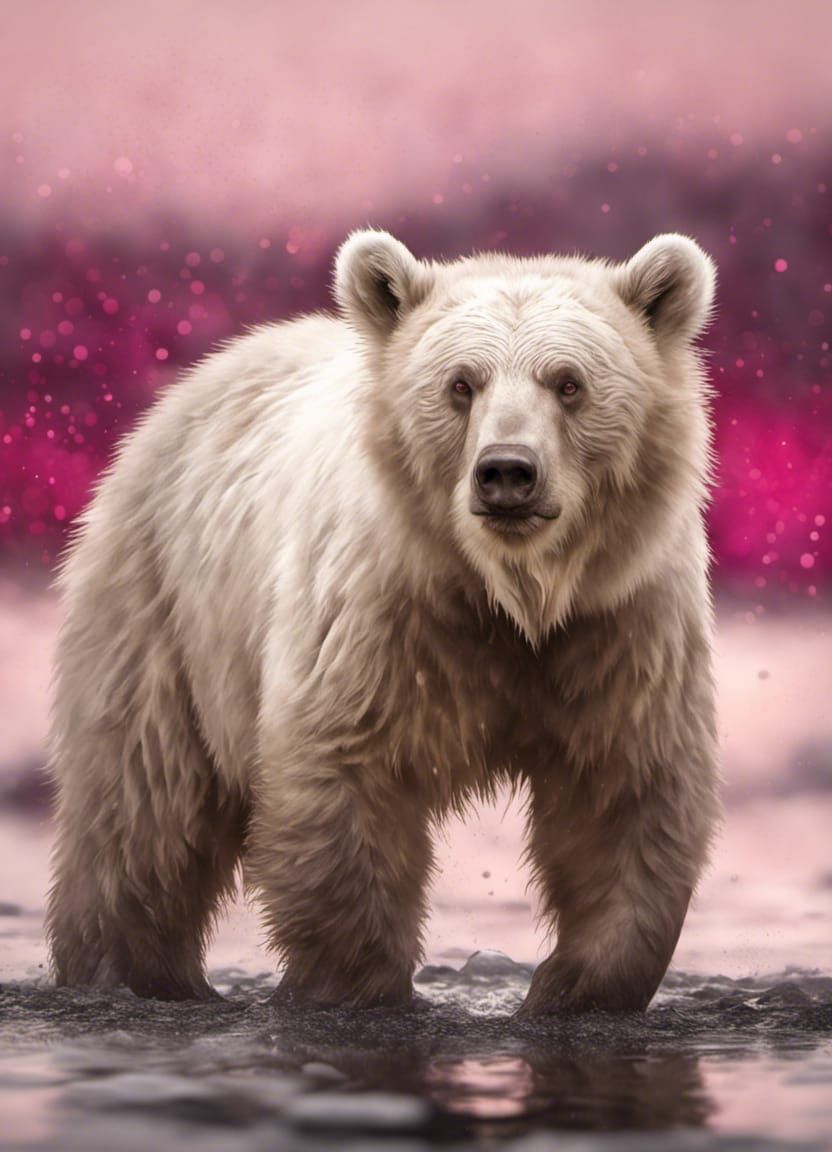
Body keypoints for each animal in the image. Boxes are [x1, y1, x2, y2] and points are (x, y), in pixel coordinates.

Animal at [45, 229, 721, 1013]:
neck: (504, 594)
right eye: (461, 383)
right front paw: (357, 985)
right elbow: (342, 773)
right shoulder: (380, 617)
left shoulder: (617, 627)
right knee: (142, 809)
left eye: (569, 382)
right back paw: (129, 972)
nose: (507, 472)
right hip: (162, 604)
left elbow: (624, 791)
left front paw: (570, 986)